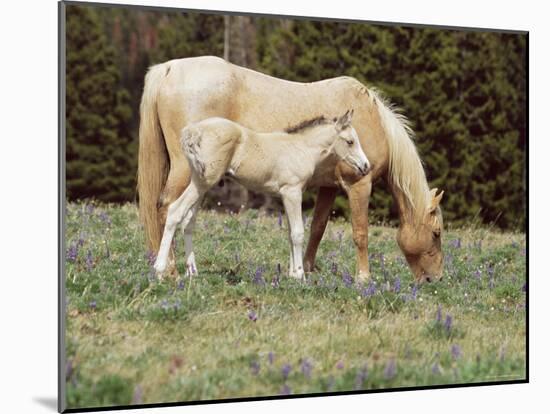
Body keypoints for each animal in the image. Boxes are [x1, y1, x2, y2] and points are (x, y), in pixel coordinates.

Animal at [153, 110, 374, 280]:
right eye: (350, 141)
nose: (365, 167)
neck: (300, 148)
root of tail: (193, 131)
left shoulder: (285, 195)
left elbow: (289, 233)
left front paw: (291, 274)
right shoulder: (292, 192)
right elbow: (297, 233)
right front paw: (300, 275)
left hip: (201, 183)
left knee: (188, 221)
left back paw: (192, 271)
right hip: (202, 183)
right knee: (175, 211)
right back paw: (160, 270)